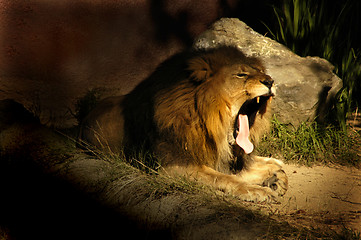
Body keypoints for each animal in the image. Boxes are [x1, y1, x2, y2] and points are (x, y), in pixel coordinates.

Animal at [79, 46, 286, 202]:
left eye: (260, 71)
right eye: (241, 74)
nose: (270, 81)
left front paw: (276, 177)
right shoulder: (173, 167)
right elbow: (223, 178)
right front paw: (261, 189)